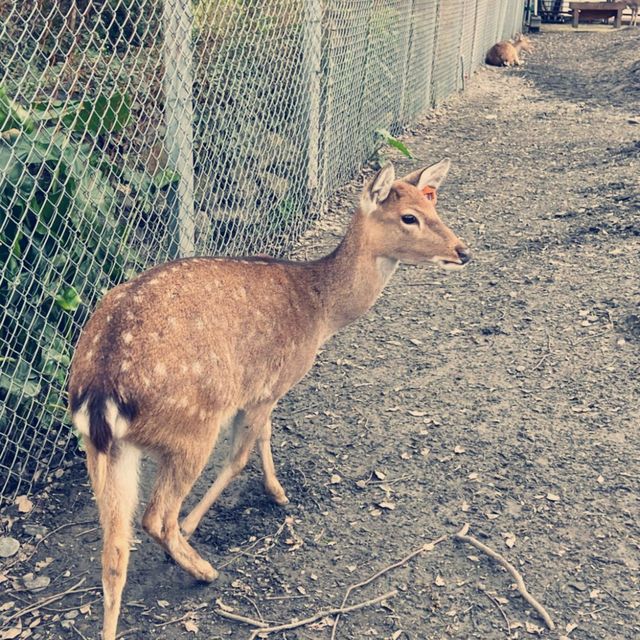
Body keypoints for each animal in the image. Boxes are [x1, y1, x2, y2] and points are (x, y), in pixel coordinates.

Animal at [69, 159, 470, 640]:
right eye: (409, 217)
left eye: (433, 205)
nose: (462, 250)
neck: (321, 312)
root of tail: (100, 388)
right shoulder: (269, 384)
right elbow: (242, 453)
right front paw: (206, 520)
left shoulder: (264, 391)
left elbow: (262, 438)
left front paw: (276, 492)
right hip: (192, 426)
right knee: (155, 517)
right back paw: (202, 567)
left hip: (103, 446)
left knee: (113, 551)